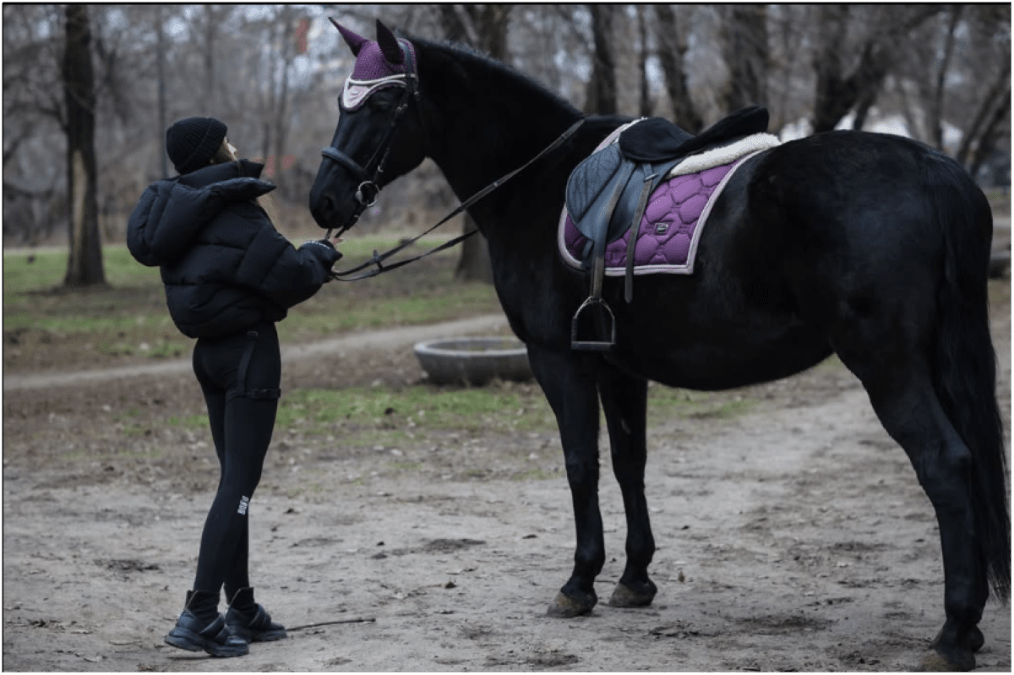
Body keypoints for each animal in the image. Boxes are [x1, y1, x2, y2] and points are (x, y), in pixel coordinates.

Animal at [312, 18, 1009, 668]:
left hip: (887, 364)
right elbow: (629, 462)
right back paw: (969, 626)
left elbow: (580, 463)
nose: (324, 201)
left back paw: (953, 632)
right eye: (343, 103)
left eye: (382, 101)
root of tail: (932, 168)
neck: (537, 183)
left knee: (947, 464)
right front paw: (634, 577)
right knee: (970, 461)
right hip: (933, 360)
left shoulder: (558, 359)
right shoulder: (620, 366)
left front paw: (579, 581)